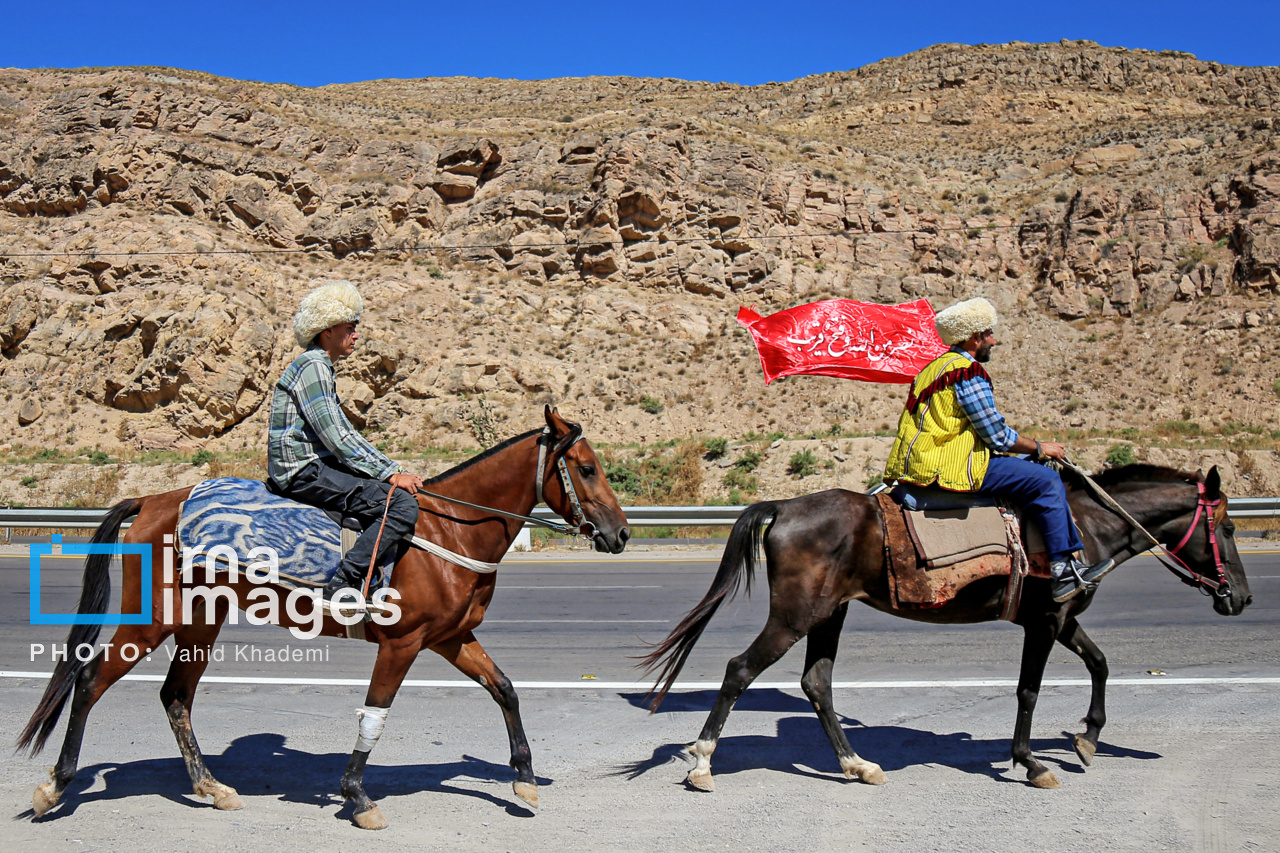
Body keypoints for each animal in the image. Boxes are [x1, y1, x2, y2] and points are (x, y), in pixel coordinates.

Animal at [20, 409, 629, 824]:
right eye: (587, 468)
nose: (621, 534)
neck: (447, 530)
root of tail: (152, 500)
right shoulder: (403, 643)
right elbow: (375, 715)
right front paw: (357, 796)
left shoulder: (452, 638)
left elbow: (504, 689)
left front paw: (524, 779)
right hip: (152, 619)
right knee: (90, 679)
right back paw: (56, 786)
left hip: (200, 620)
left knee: (175, 696)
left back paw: (212, 787)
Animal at [640, 466, 1249, 788]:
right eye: (1228, 527)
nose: (1240, 598)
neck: (1085, 526)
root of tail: (785, 506)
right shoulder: (1045, 621)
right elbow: (1029, 691)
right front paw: (1031, 762)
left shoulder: (1061, 618)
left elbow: (1099, 664)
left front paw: (1086, 739)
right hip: (795, 615)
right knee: (740, 669)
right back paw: (702, 762)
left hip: (830, 613)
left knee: (817, 683)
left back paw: (857, 764)